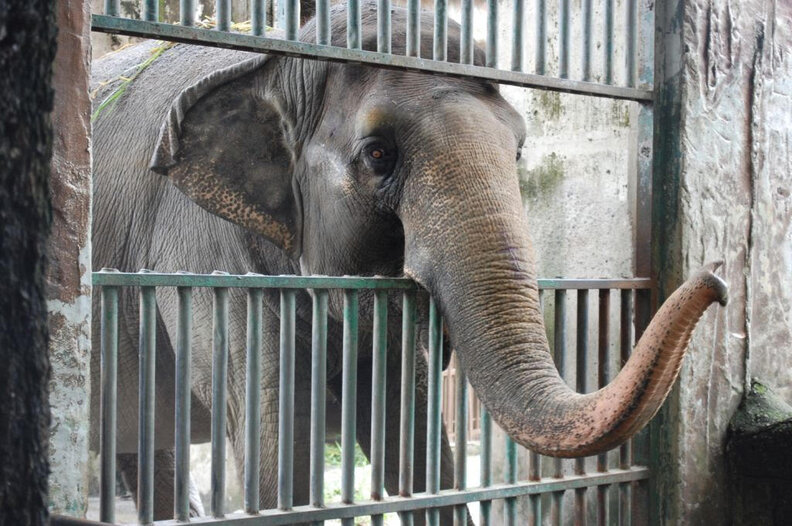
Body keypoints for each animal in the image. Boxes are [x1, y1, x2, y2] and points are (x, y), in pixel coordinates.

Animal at [90, 1, 728, 522]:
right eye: (378, 154)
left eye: (519, 149)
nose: (716, 279)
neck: (283, 57)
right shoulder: (207, 262)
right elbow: (280, 458)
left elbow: (417, 448)